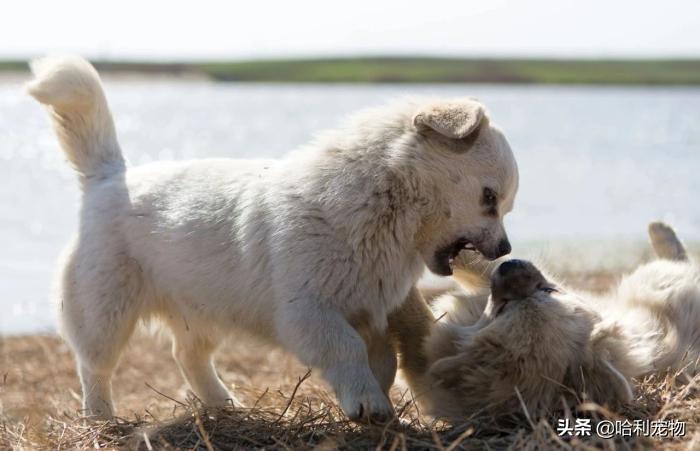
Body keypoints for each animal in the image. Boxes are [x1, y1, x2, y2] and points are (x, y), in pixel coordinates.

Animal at [27, 55, 516, 420]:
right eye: (489, 198)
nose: (507, 251)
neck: (379, 204)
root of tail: (109, 176)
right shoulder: (310, 313)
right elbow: (348, 350)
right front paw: (367, 403)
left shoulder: (371, 313)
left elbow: (383, 361)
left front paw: (375, 405)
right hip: (104, 314)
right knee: (94, 367)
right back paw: (101, 419)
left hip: (203, 309)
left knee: (188, 357)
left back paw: (225, 404)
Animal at [394, 222, 700, 420]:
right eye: (547, 291)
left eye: (503, 308)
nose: (512, 266)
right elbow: (479, 264)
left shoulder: (423, 366)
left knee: (678, 257)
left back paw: (660, 230)